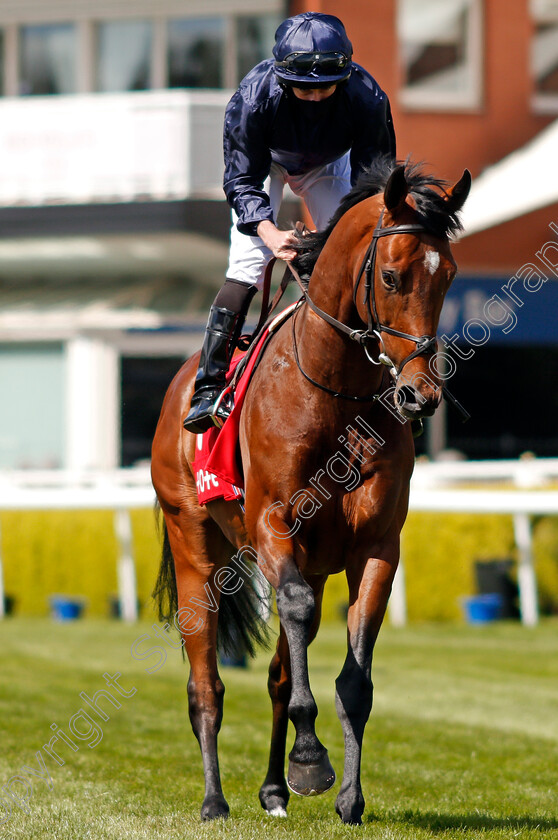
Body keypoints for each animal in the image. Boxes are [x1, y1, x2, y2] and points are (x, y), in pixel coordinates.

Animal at [151, 159, 470, 828]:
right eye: (393, 275)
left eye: (449, 276)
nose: (421, 396)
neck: (334, 392)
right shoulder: (275, 526)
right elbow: (292, 614)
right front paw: (309, 760)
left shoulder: (374, 547)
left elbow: (354, 679)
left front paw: (346, 794)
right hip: (194, 548)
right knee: (205, 685)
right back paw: (215, 799)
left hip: (314, 564)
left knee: (277, 671)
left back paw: (273, 789)